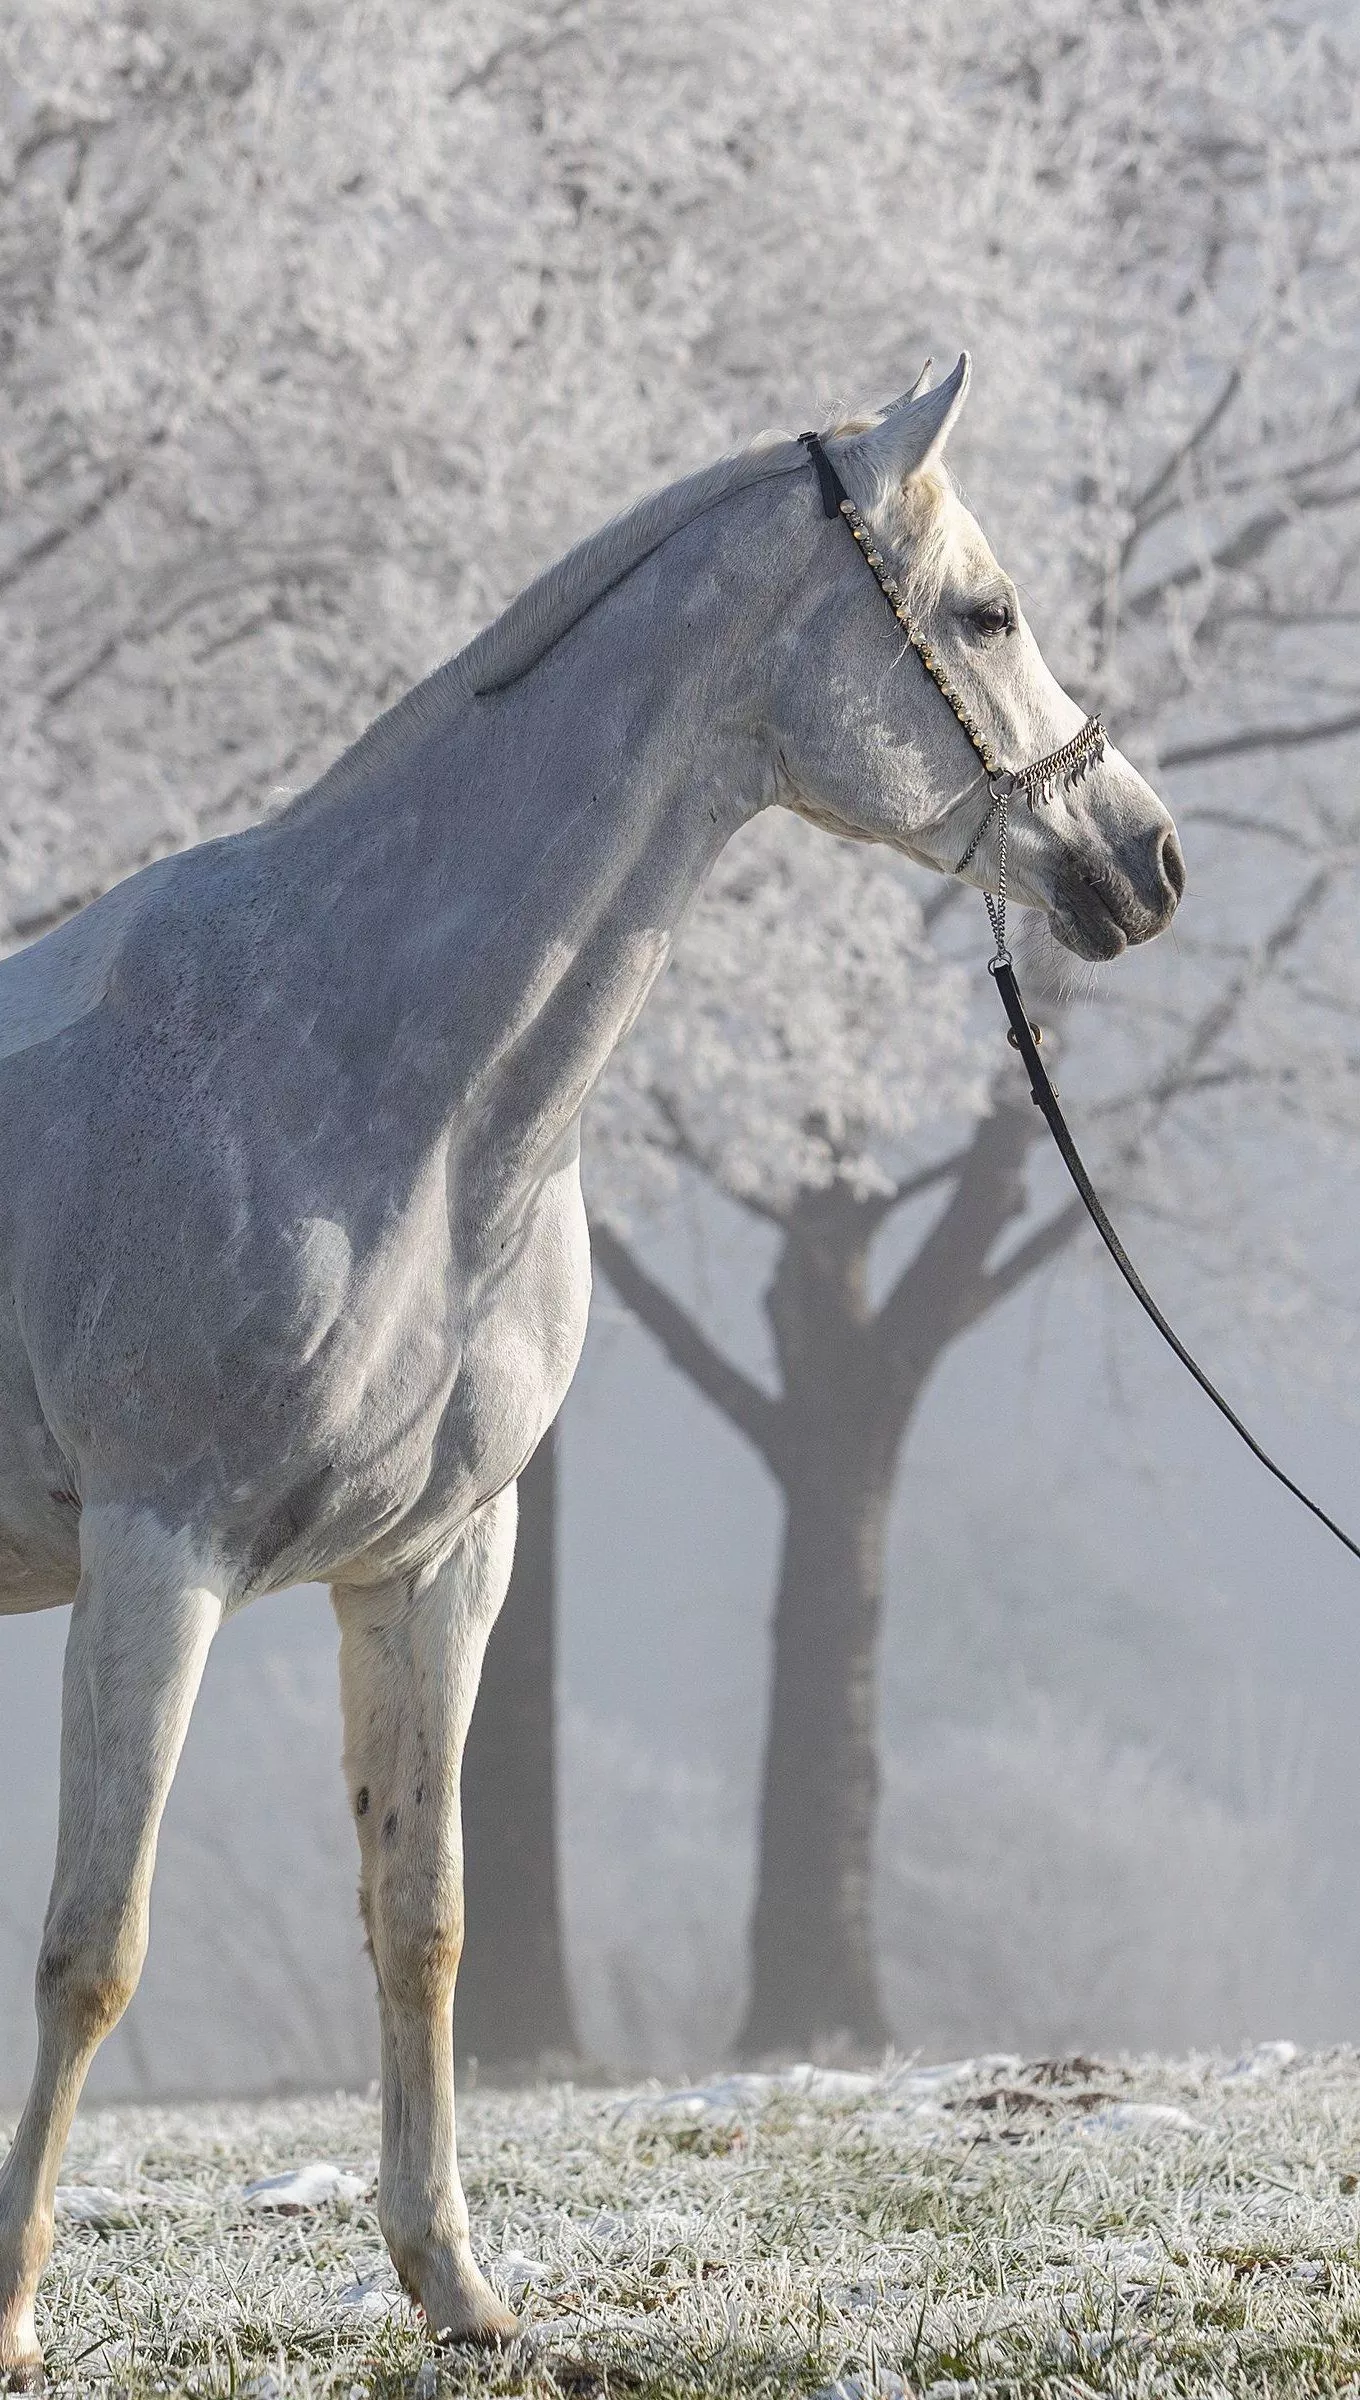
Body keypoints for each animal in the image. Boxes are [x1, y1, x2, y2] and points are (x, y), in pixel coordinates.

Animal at [0, 355, 1182, 2382]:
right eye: (987, 612)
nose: (1148, 858)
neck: (356, 1055)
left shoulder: (435, 1567)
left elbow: (424, 1922)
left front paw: (457, 2288)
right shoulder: (159, 1561)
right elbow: (96, 1946)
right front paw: (4, 2314)